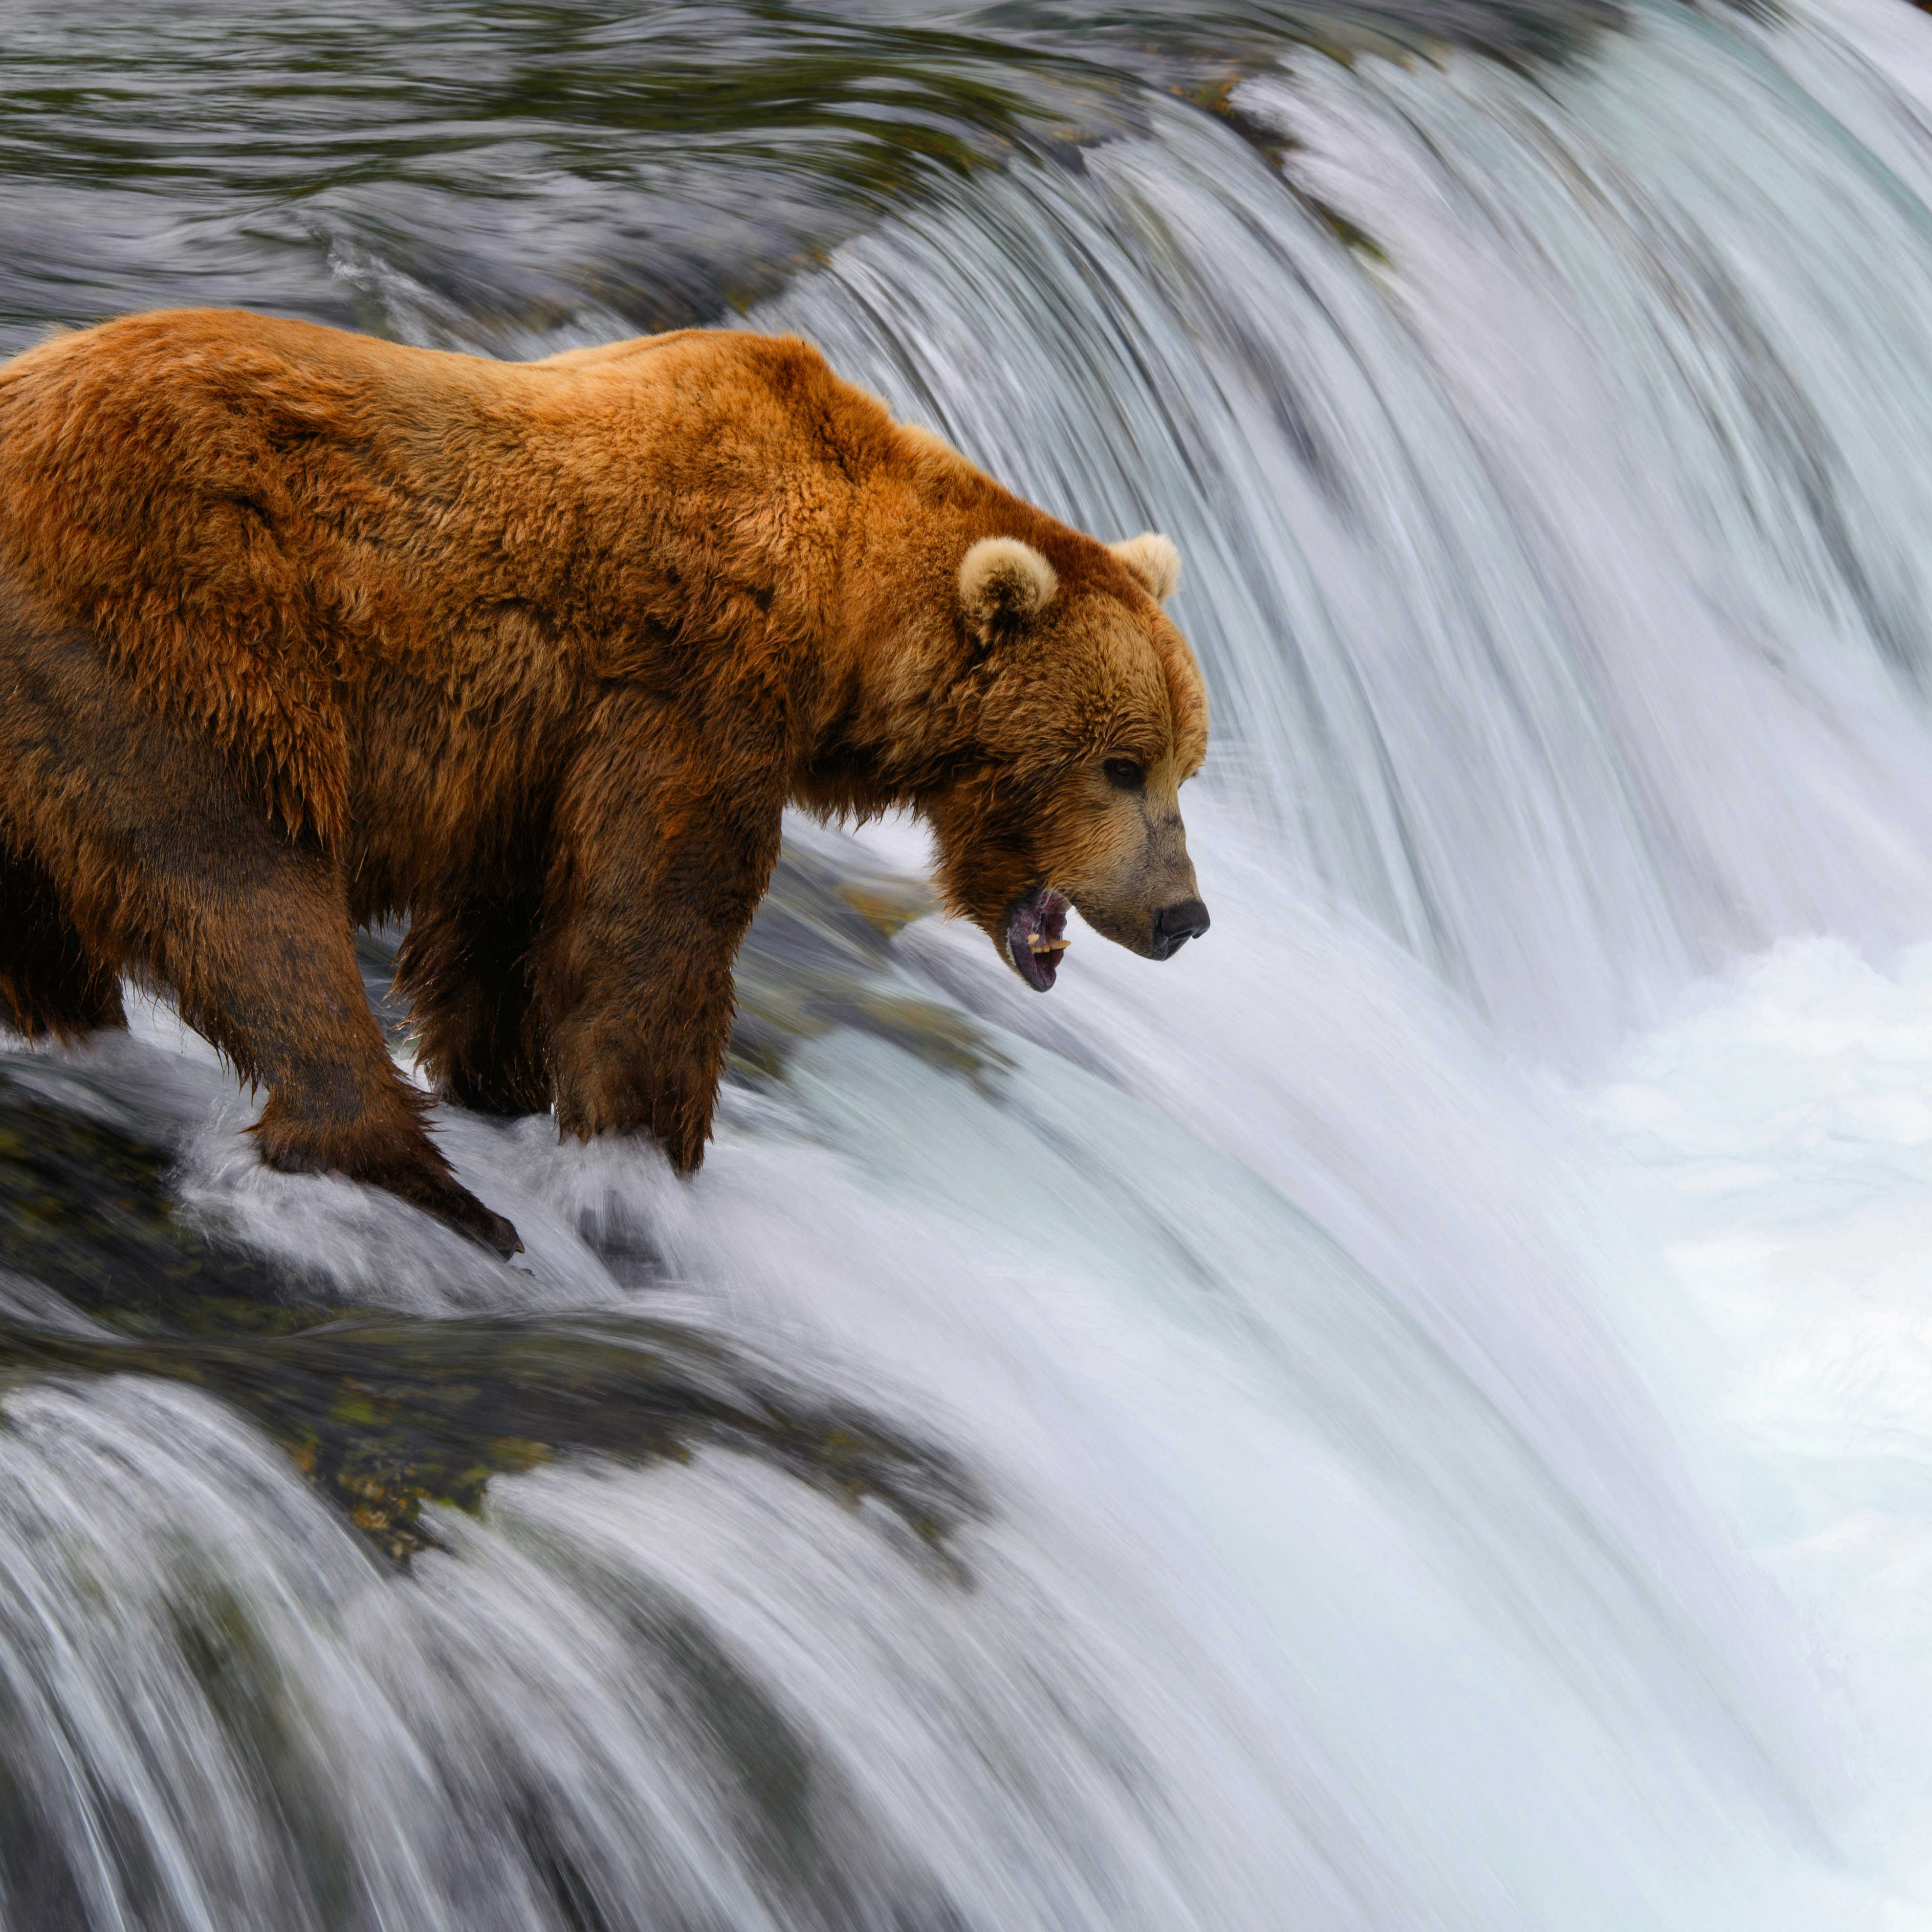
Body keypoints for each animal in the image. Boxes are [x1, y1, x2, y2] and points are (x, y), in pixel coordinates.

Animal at [0, 309, 1210, 1256]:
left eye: (1184, 761)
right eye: (1118, 763)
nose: (1182, 914)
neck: (841, 615)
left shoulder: (531, 761)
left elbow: (505, 937)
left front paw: (507, 1089)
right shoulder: (687, 692)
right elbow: (649, 931)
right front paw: (643, 1158)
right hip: (176, 632)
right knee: (241, 884)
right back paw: (426, 1186)